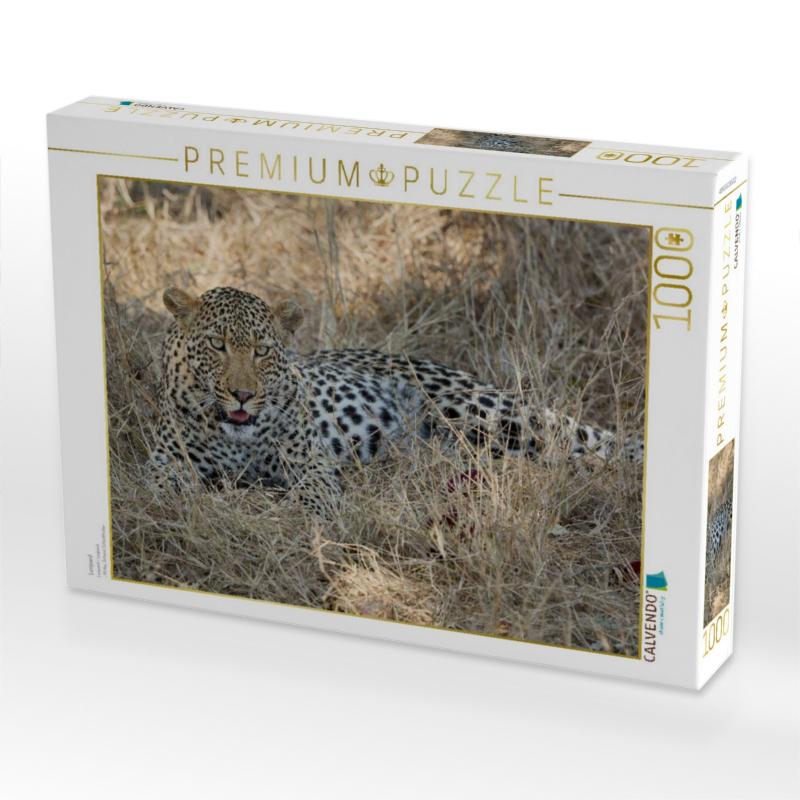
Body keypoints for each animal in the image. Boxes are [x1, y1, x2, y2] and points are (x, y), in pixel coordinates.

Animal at [150, 285, 644, 515]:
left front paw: (311, 518)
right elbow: (163, 490)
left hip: (477, 411)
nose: (243, 394)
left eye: (261, 351)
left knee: (576, 445)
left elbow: (315, 492)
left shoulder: (309, 460)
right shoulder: (165, 463)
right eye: (217, 345)